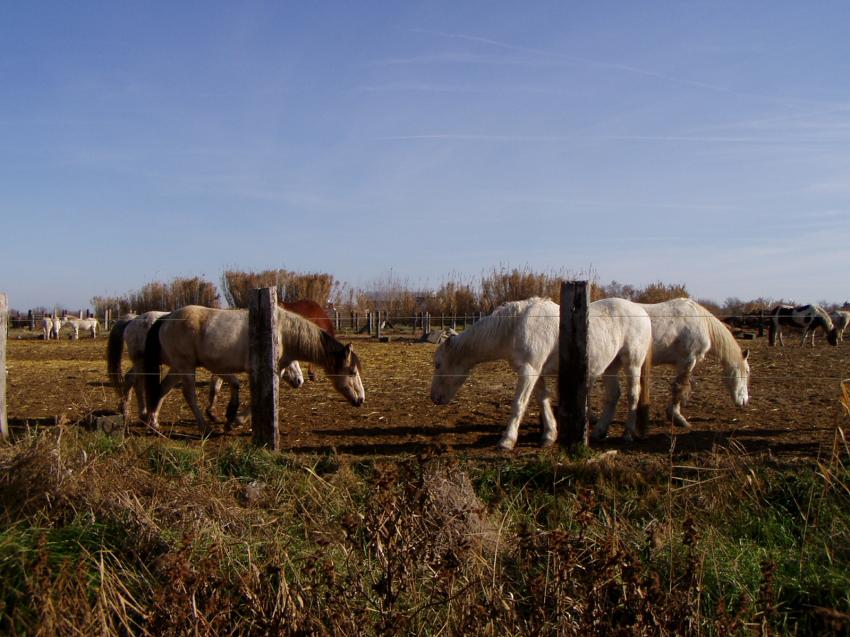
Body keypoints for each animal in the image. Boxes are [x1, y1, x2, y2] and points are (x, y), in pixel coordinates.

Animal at [142, 306, 362, 434]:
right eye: (352, 372)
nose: (361, 399)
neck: (281, 331)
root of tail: (167, 318)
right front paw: (234, 421)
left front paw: (232, 419)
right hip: (186, 367)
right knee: (189, 395)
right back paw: (204, 427)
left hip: (178, 367)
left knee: (162, 389)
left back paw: (153, 423)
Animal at [428, 296, 652, 450]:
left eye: (438, 364)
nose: (434, 398)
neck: (515, 326)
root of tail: (641, 311)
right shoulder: (536, 372)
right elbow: (542, 400)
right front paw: (549, 435)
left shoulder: (529, 371)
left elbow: (519, 404)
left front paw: (507, 440)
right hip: (610, 367)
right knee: (614, 396)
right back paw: (599, 431)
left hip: (632, 364)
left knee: (633, 395)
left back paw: (627, 434)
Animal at [636, 296, 748, 428]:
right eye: (747, 371)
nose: (745, 401)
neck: (701, 322)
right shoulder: (687, 360)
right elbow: (680, 387)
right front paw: (677, 417)